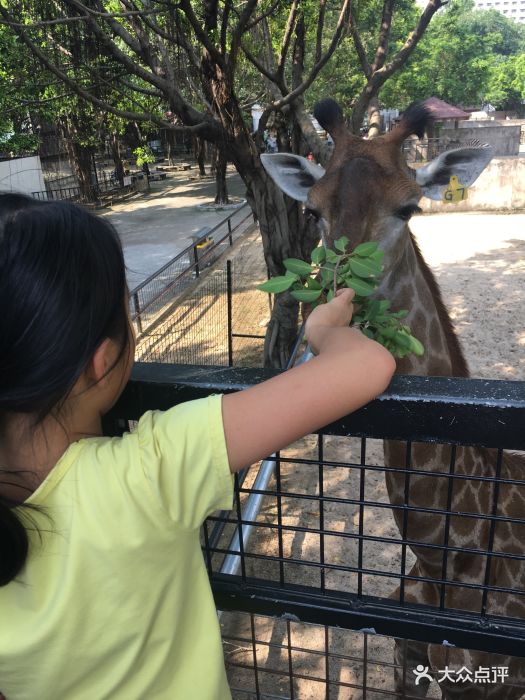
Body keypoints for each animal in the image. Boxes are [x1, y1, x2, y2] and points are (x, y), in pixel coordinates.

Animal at [260, 100, 524, 700]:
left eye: (409, 208)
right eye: (312, 210)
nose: (339, 303)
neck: (446, 563)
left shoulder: (492, 683)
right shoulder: (409, 656)